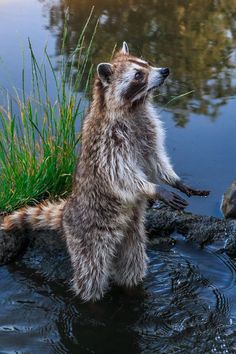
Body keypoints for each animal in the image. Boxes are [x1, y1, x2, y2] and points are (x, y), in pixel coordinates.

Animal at [0, 41, 209, 302]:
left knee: (132, 264)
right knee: (92, 273)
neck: (134, 106)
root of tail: (67, 210)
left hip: (132, 234)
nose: (165, 71)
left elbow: (155, 160)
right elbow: (120, 173)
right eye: (138, 75)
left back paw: (132, 286)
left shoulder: (148, 130)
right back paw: (90, 299)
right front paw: (154, 189)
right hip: (88, 237)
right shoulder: (108, 142)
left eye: (147, 63)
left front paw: (173, 180)